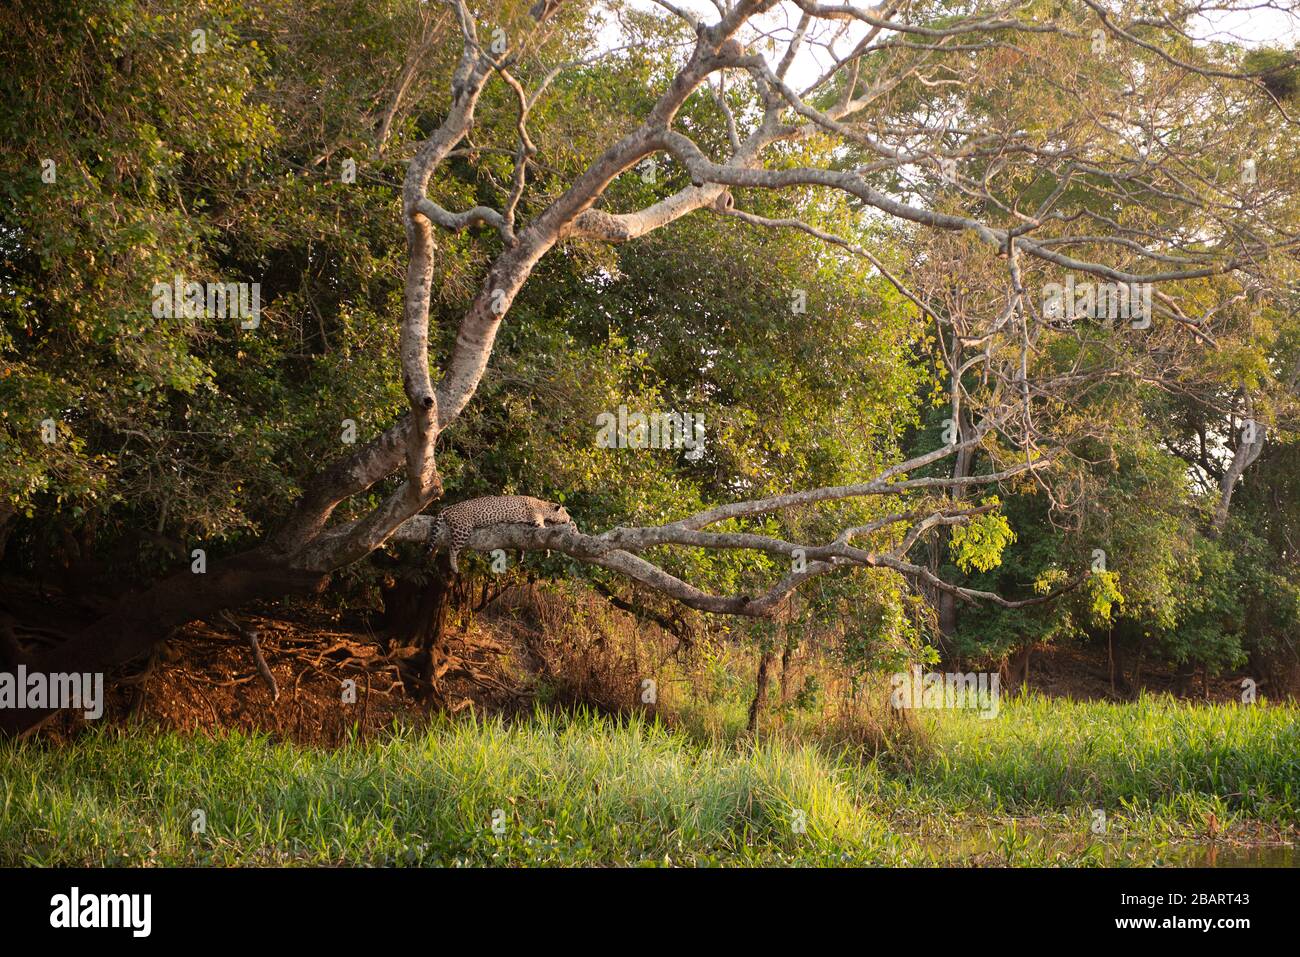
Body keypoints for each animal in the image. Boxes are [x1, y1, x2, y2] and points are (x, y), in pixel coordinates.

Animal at [429, 495, 573, 573]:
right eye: (565, 513)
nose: (570, 518)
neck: (543, 505)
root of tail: (449, 507)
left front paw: (520, 556)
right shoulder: (537, 520)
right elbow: (543, 530)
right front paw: (547, 551)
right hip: (462, 529)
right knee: (452, 549)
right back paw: (454, 567)